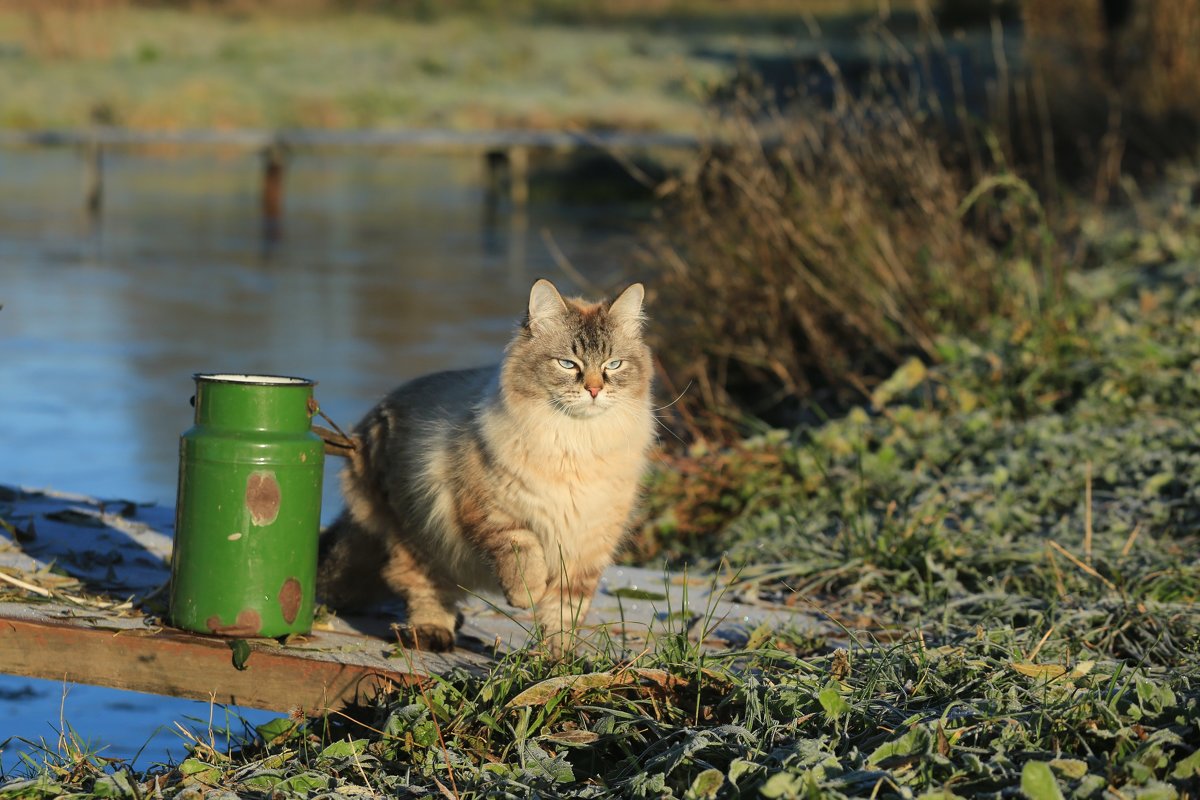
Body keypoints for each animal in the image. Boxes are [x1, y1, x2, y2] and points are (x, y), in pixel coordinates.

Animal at [316, 278, 657, 652]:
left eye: (614, 364)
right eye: (568, 364)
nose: (594, 390)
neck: (576, 444)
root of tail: (367, 426)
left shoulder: (587, 547)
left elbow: (565, 613)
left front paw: (557, 658)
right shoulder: (492, 513)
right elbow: (523, 554)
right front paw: (526, 596)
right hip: (416, 538)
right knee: (425, 590)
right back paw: (434, 634)